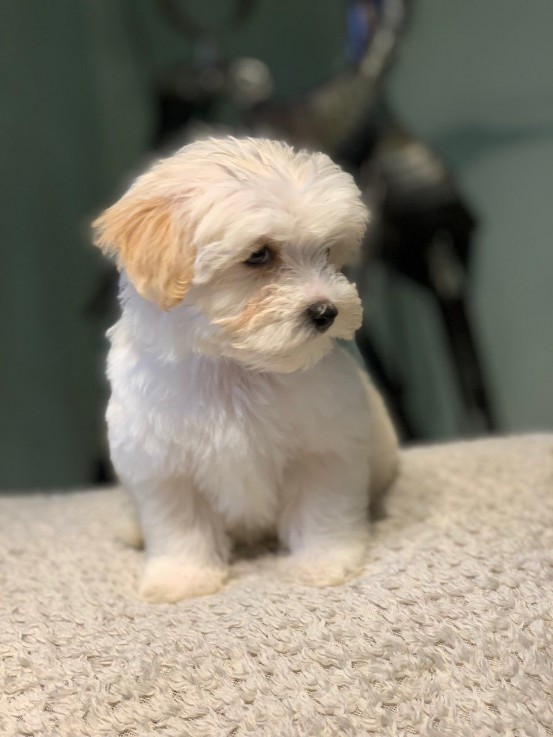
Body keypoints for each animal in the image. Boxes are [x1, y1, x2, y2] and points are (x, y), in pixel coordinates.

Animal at [95, 135, 396, 600]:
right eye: (258, 255)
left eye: (328, 251)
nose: (326, 311)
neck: (233, 367)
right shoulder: (163, 466)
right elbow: (180, 525)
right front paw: (182, 578)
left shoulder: (323, 448)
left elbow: (322, 509)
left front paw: (323, 563)